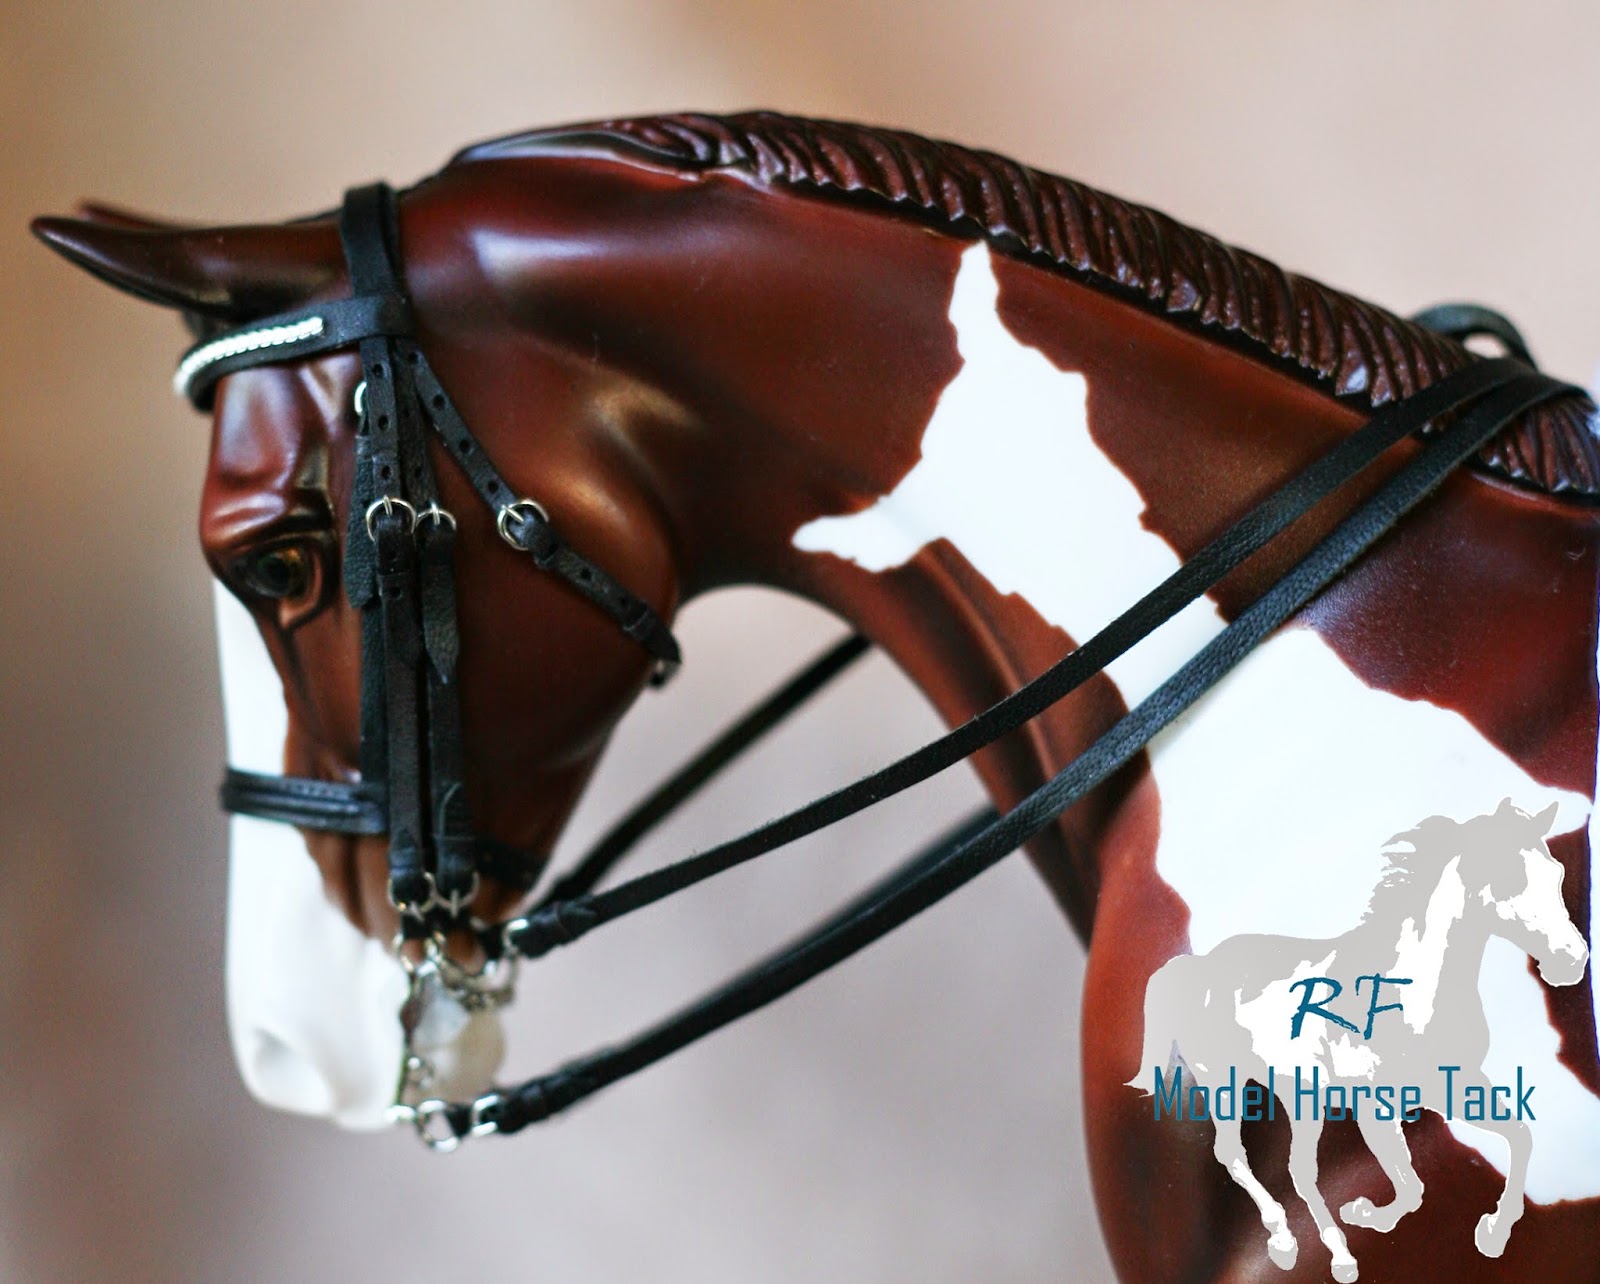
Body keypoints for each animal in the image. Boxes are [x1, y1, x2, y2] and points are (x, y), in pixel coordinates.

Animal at [1134, 799, 1589, 1281]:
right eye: (1507, 877)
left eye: (1556, 872)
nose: (1573, 961)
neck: (1408, 992)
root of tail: (1198, 968)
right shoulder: (1374, 1103)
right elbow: (1410, 1185)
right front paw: (1368, 1214)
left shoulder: (1452, 1085)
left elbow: (1518, 1136)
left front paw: (1492, 1233)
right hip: (1228, 1082)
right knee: (1246, 1157)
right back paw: (1321, 1251)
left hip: (1294, 1091)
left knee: (1290, 1169)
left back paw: (1292, 1243)